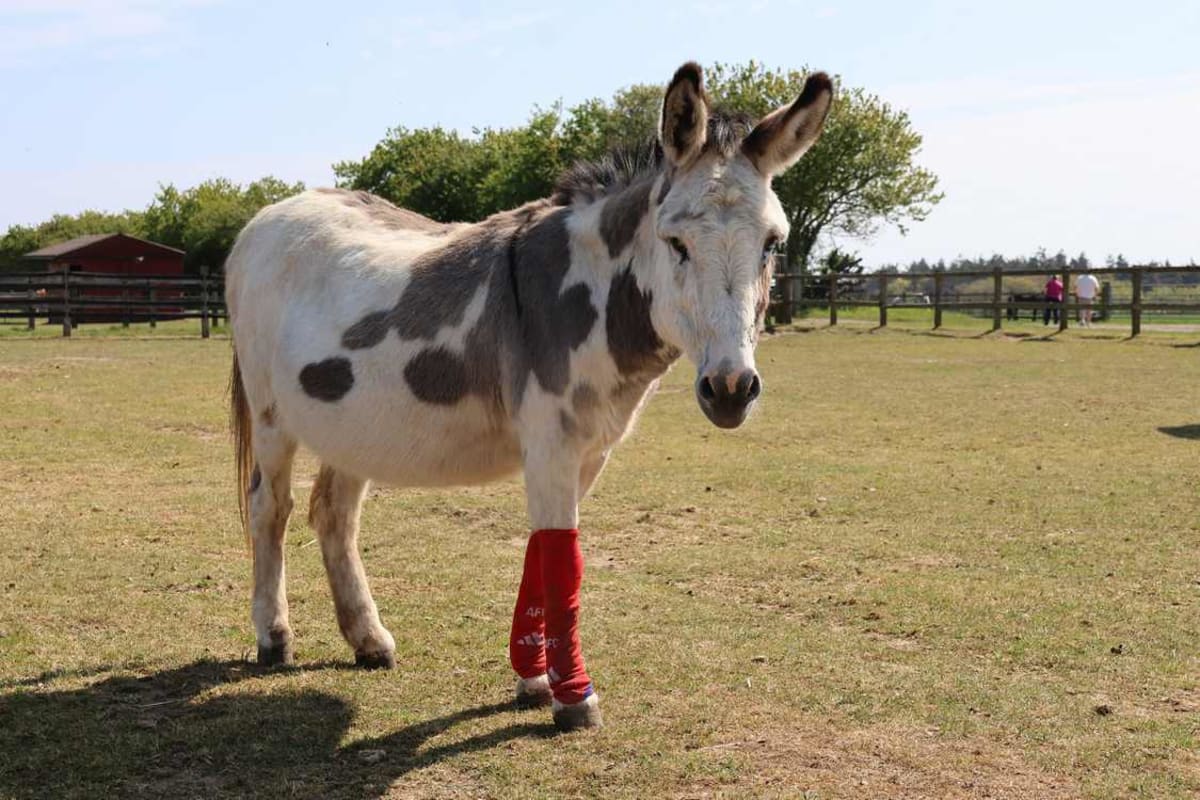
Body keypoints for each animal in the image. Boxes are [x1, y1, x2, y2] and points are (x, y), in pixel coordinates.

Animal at [225, 62, 832, 732]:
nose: (730, 390)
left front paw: (533, 678)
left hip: (351, 425)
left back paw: (368, 640)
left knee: (332, 514)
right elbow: (563, 559)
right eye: (676, 242)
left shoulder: (590, 449)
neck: (587, 294)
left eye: (772, 243)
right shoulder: (550, 440)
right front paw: (575, 697)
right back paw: (274, 637)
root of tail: (272, 212)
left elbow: (543, 555)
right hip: (272, 416)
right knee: (270, 508)